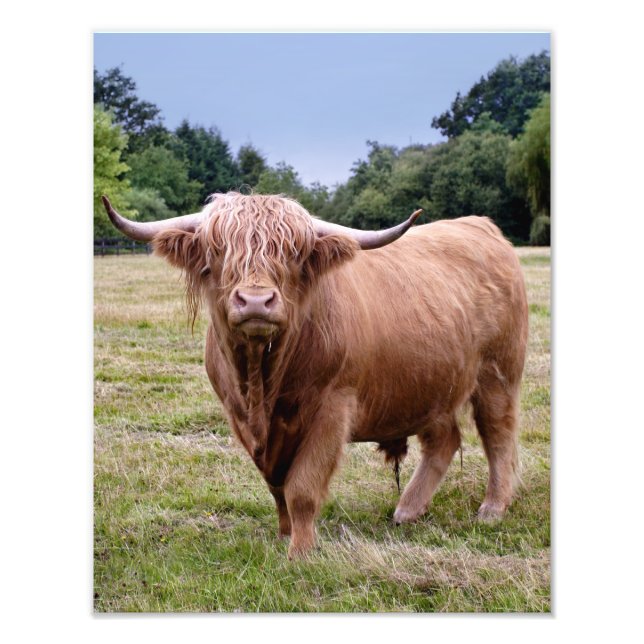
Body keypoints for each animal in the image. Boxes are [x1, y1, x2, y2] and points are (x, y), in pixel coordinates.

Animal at [102, 193, 528, 559]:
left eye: (293, 253)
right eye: (218, 250)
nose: (255, 301)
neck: (263, 385)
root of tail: (481, 226)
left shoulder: (332, 409)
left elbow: (302, 487)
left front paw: (301, 551)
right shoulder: (241, 418)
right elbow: (277, 486)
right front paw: (284, 534)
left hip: (497, 374)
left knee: (498, 435)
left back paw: (492, 508)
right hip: (430, 383)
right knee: (444, 440)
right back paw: (407, 510)